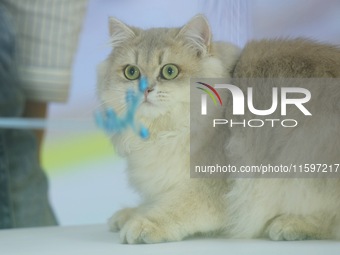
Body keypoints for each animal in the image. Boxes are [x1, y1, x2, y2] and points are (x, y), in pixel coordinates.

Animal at [97, 14, 340, 244]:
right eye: (131, 72)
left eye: (169, 71)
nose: (144, 90)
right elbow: (154, 201)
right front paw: (129, 214)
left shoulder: (214, 188)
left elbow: (173, 208)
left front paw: (143, 223)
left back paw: (291, 224)